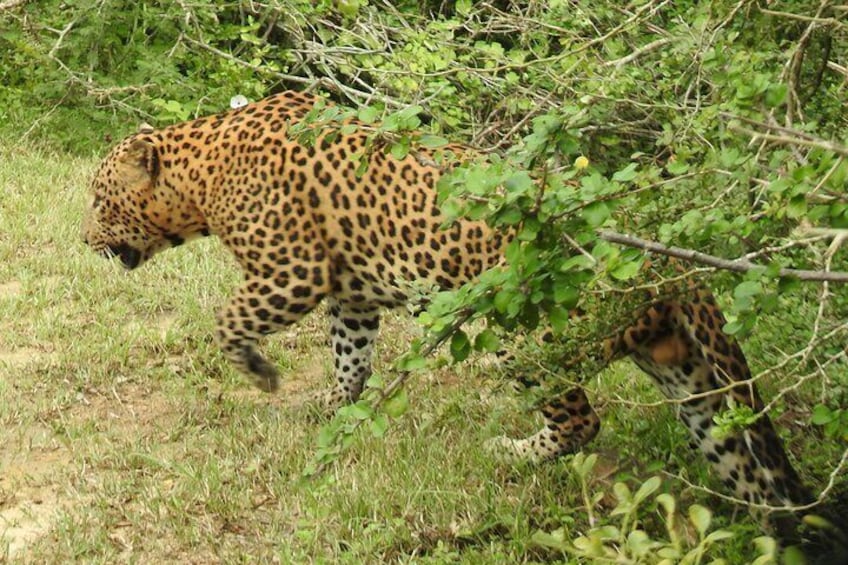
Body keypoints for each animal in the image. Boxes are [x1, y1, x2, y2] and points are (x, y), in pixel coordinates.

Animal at [82, 90, 814, 526]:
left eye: (98, 198)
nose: (84, 240)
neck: (200, 175)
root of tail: (670, 262)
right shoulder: (350, 291)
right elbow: (350, 356)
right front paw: (334, 408)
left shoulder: (291, 271)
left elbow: (227, 319)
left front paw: (259, 371)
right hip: (694, 385)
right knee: (746, 469)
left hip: (533, 337)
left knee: (581, 419)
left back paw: (512, 453)